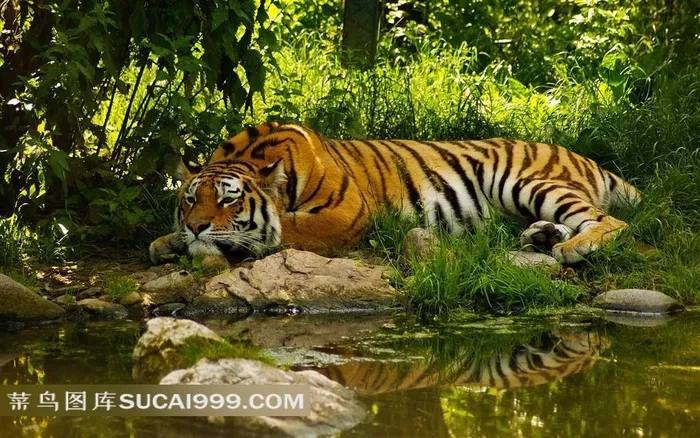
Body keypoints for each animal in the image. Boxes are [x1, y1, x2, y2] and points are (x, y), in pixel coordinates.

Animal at [149, 121, 640, 265]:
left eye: (229, 199)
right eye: (190, 198)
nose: (197, 227)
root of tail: (583, 156)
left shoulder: (346, 213)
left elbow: (284, 229)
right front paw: (167, 241)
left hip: (524, 181)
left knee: (610, 221)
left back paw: (572, 248)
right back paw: (542, 237)